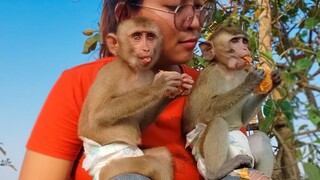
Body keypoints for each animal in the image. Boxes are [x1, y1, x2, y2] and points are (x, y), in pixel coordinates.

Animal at [184, 24, 282, 179]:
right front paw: (251, 80)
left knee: (261, 137)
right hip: (201, 153)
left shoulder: (240, 73)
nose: (245, 49)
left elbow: (243, 118)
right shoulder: (210, 75)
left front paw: (272, 81)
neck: (228, 70)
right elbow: (204, 112)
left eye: (244, 41)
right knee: (217, 122)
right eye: (235, 41)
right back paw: (216, 172)